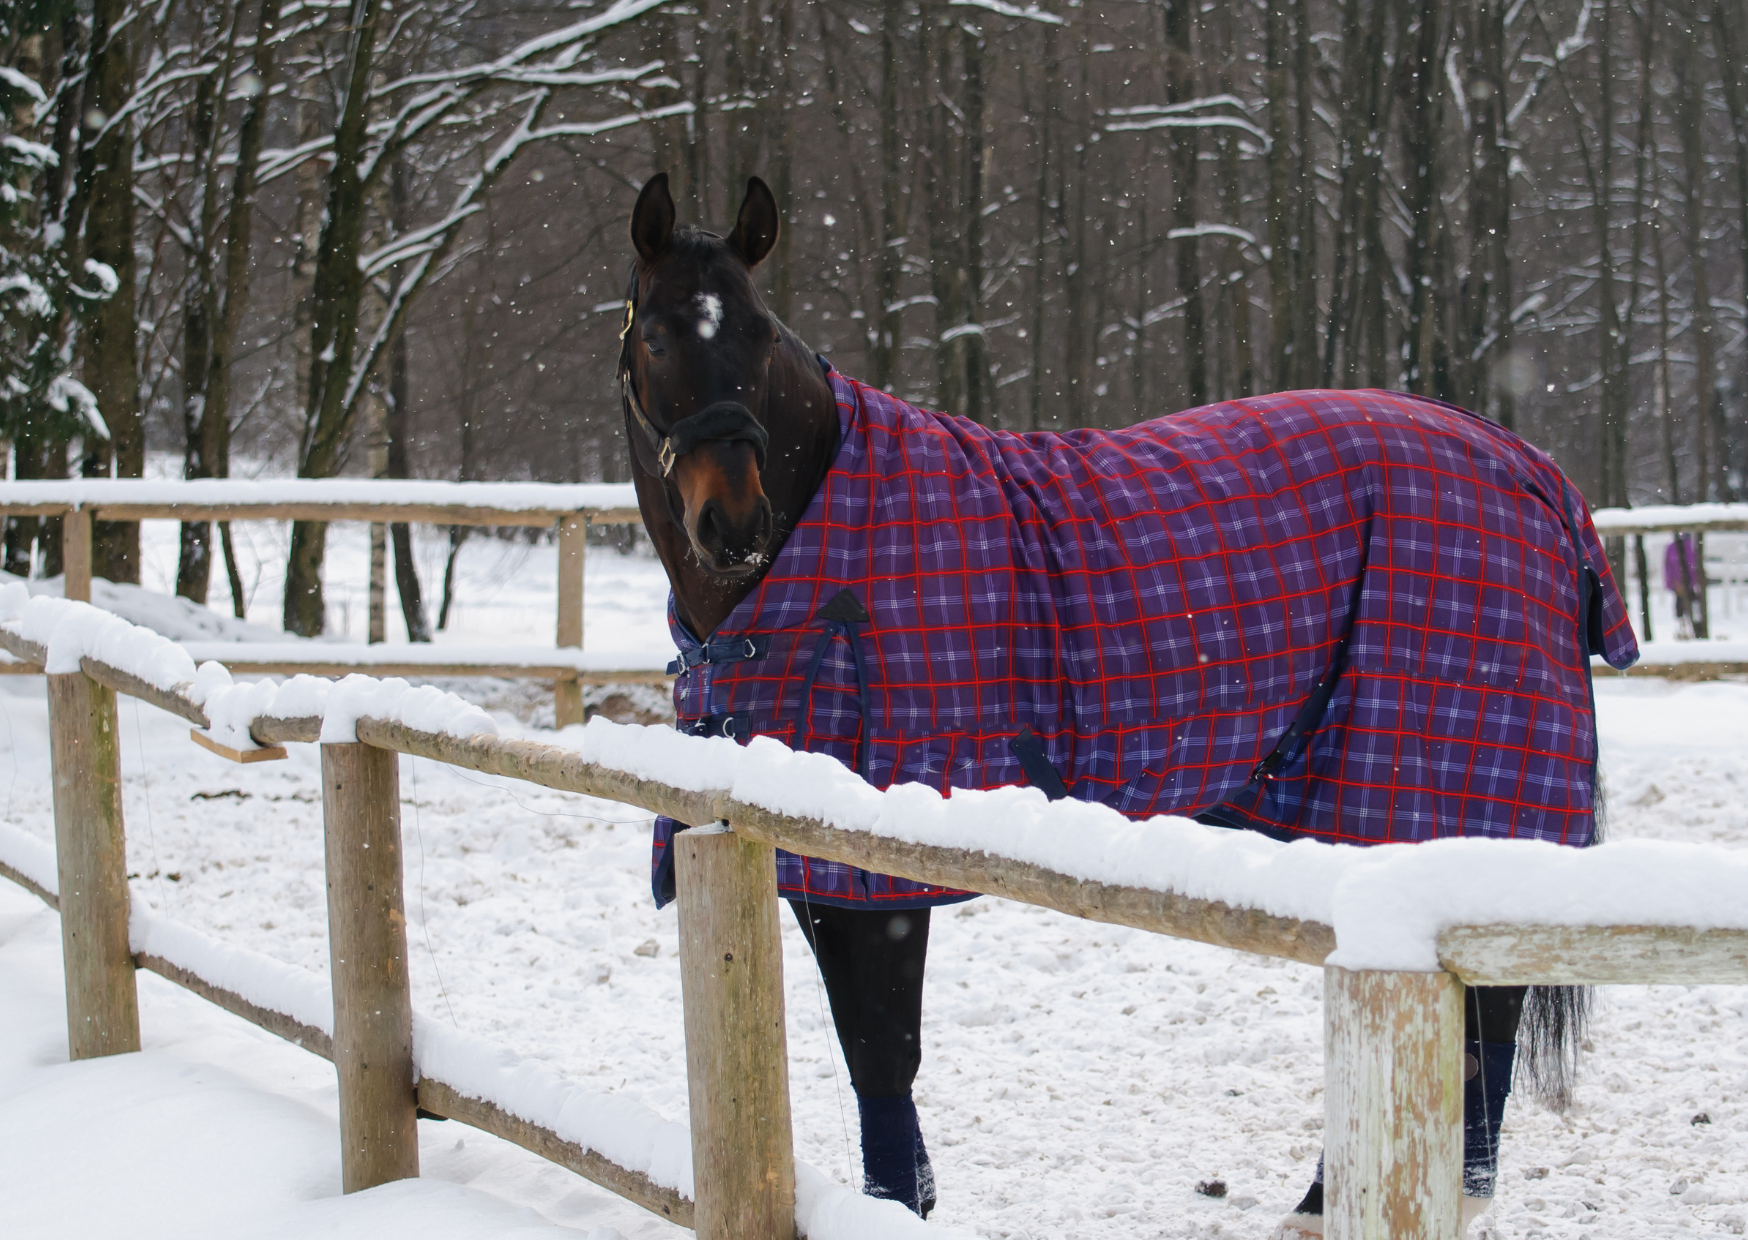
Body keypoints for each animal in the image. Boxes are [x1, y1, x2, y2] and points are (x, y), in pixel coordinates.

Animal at [618, 172, 1638, 1233]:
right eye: (660, 336)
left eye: (759, 333)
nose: (733, 523)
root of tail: (1532, 470)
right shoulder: (804, 852)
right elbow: (873, 1059)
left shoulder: (872, 865)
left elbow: (883, 1051)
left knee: (1481, 1020)